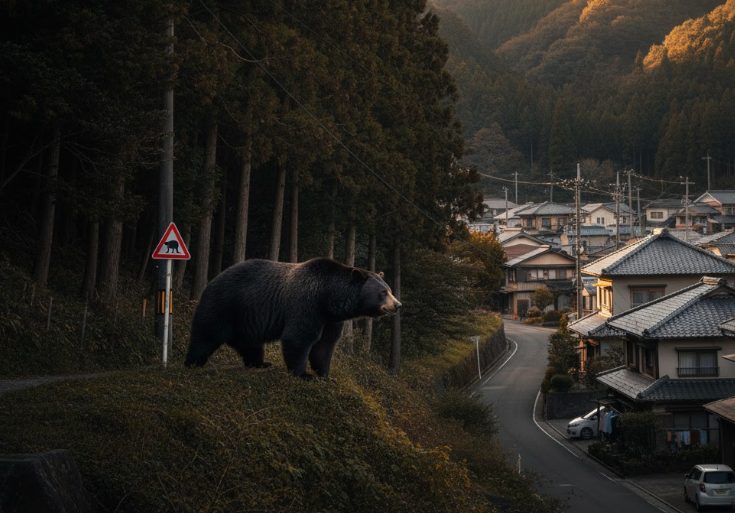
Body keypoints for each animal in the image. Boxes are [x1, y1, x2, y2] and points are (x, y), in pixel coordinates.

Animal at [184, 257, 401, 378]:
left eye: (390, 289)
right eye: (383, 292)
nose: (397, 305)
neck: (329, 298)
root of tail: (213, 279)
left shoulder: (331, 319)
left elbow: (325, 345)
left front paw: (324, 374)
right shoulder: (306, 304)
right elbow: (299, 337)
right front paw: (303, 373)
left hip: (246, 318)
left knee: (249, 343)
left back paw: (260, 362)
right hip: (225, 304)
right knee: (206, 334)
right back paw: (192, 363)